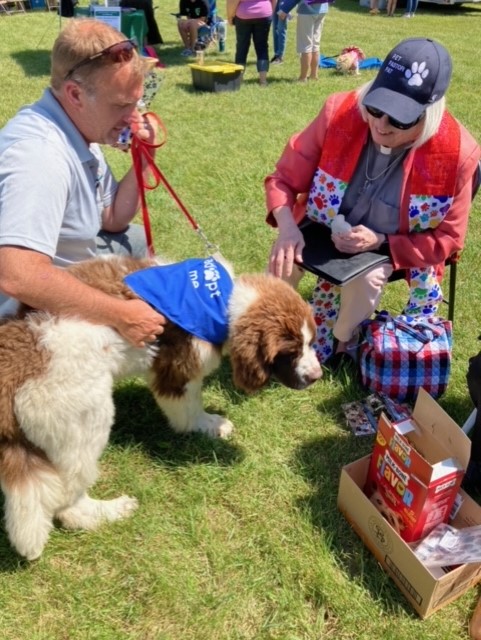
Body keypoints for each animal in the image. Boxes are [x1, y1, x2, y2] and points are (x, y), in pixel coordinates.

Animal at [0, 255, 322, 560]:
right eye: (291, 350)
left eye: (311, 342)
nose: (317, 376)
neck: (217, 301)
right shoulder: (178, 367)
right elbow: (189, 405)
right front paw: (209, 425)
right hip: (80, 417)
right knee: (67, 498)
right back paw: (109, 511)